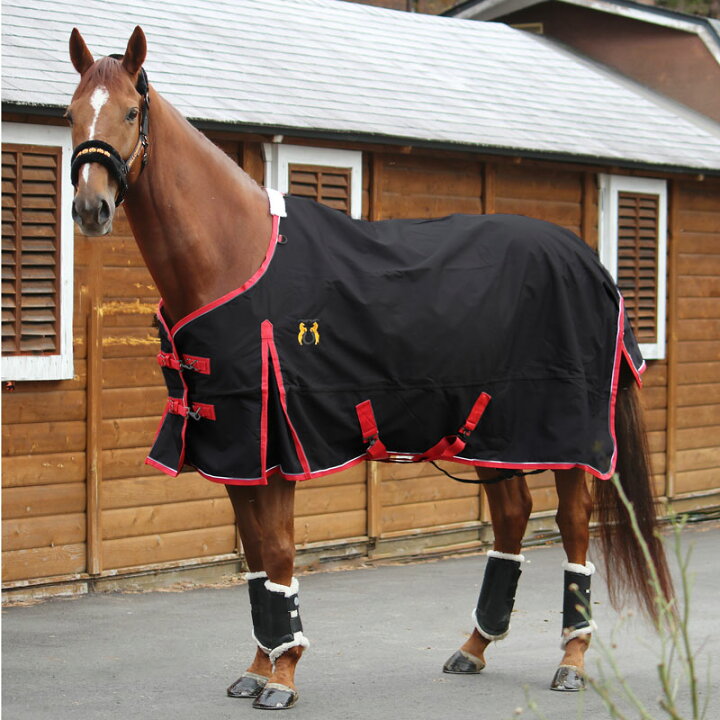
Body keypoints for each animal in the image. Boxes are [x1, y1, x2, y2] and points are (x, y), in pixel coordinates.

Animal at [67, 26, 673, 710]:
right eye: (71, 113)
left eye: (131, 112)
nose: (90, 208)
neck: (235, 255)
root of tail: (587, 261)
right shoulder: (235, 450)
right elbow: (255, 559)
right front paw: (258, 665)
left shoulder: (276, 448)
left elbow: (278, 553)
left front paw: (283, 676)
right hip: (493, 431)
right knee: (513, 517)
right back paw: (473, 647)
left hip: (565, 437)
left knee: (572, 527)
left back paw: (571, 659)